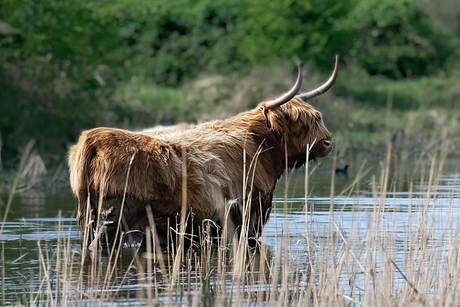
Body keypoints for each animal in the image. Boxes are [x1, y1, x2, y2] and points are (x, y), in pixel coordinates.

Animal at [70, 56, 340, 251]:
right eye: (301, 122)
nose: (328, 142)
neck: (259, 146)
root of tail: (94, 138)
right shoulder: (248, 216)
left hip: (89, 217)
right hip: (113, 218)